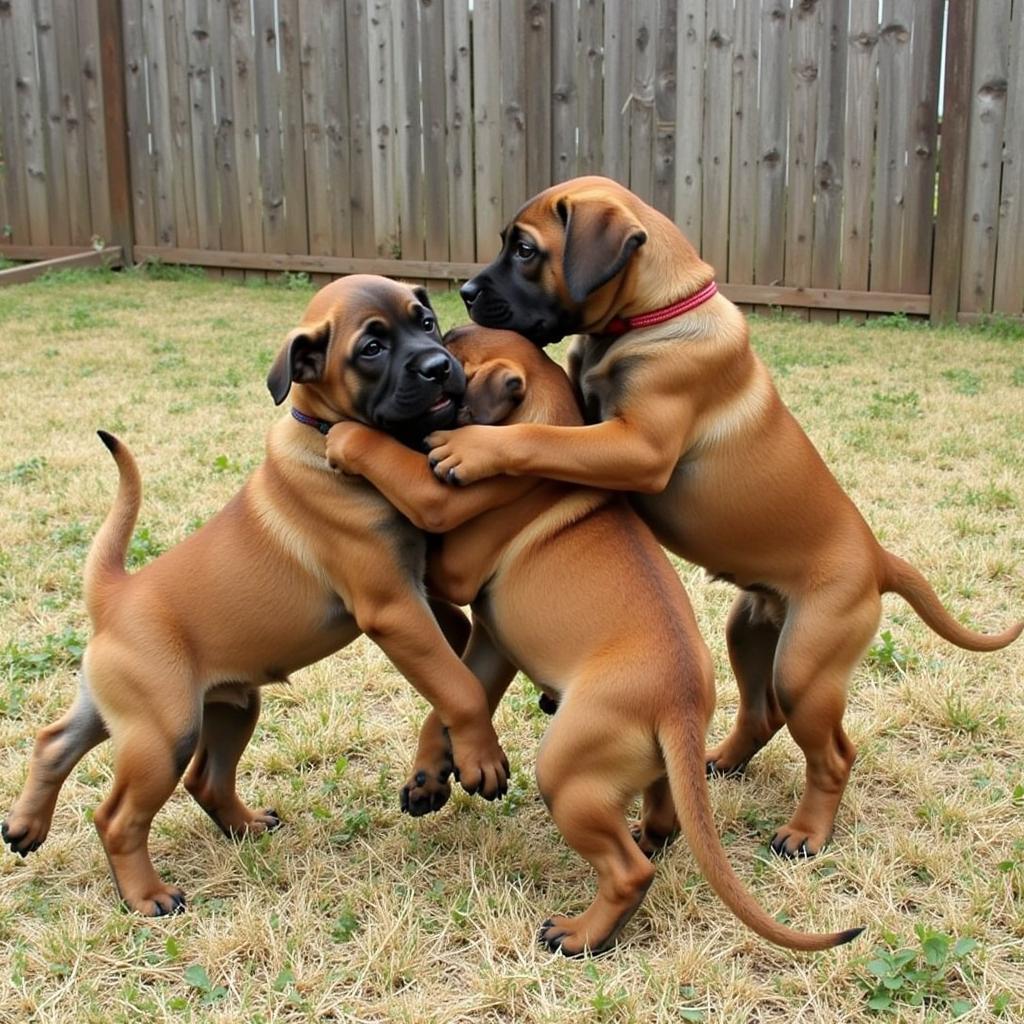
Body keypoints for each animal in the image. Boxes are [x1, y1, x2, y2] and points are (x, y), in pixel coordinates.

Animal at [1, 276, 507, 917]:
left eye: (427, 321)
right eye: (371, 349)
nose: (440, 366)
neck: (323, 434)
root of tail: (115, 594)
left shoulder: (410, 590)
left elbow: (454, 655)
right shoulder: (391, 607)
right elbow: (458, 685)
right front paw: (479, 757)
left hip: (204, 708)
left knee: (77, 748)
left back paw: (39, 826)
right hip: (164, 730)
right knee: (117, 816)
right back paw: (147, 896)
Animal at [323, 329, 860, 958]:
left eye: (452, 350)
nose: (432, 360)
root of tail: (678, 705)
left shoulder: (451, 564)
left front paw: (351, 440)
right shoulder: (492, 641)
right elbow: (455, 699)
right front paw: (431, 776)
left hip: (567, 774)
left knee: (629, 872)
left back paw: (581, 935)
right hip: (651, 768)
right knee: (664, 816)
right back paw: (647, 837)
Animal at [419, 176, 1019, 856]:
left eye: (524, 250)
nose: (467, 292)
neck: (657, 313)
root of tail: (878, 559)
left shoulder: (638, 447)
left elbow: (542, 437)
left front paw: (471, 449)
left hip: (805, 667)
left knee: (833, 754)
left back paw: (806, 833)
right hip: (750, 633)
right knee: (760, 713)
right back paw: (719, 762)